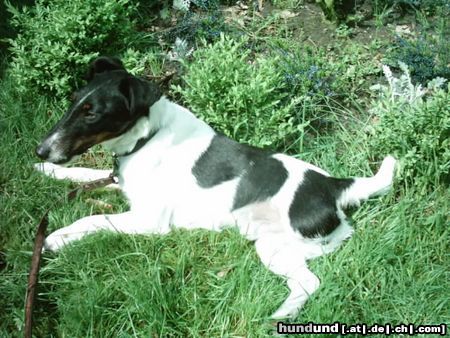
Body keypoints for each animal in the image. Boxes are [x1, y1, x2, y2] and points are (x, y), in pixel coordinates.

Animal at [35, 56, 396, 320]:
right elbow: (86, 173)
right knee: (304, 282)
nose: (41, 151)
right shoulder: (121, 184)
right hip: (271, 246)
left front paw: (57, 238)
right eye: (72, 101)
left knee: (312, 282)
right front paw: (48, 170)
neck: (147, 135)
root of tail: (334, 186)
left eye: (92, 113)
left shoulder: (148, 220)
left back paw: (280, 316)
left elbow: (93, 220)